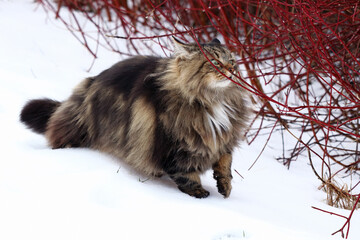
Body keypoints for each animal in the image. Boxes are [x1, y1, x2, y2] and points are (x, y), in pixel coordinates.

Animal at [20, 38, 250, 199]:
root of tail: (88, 84)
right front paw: (198, 192)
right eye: (215, 63)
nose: (232, 70)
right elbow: (186, 174)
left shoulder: (223, 137)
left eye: (232, 61)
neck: (214, 100)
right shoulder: (175, 143)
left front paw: (225, 186)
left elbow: (225, 162)